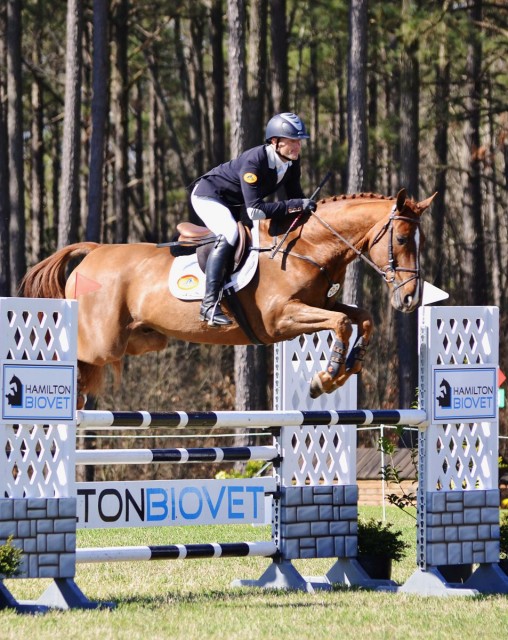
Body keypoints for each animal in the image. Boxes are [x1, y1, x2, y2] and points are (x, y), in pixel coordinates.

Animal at [18, 188, 432, 402]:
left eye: (420, 240)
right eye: (400, 239)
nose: (410, 299)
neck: (306, 247)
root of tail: (95, 251)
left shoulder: (319, 305)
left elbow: (361, 317)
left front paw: (350, 365)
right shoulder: (281, 318)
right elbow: (344, 322)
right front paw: (327, 377)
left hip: (139, 338)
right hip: (100, 342)